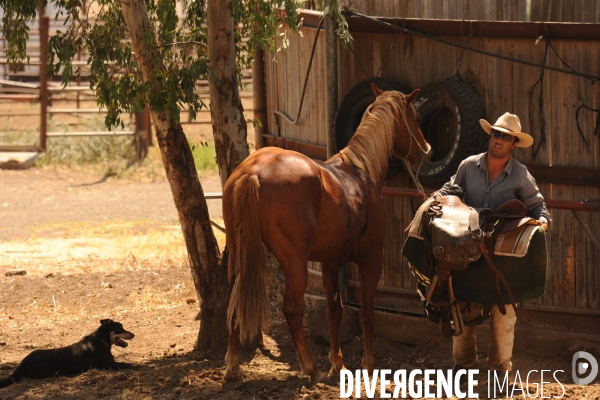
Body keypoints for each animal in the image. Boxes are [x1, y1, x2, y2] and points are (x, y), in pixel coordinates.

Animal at [0, 318, 135, 388]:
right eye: (120, 328)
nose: (134, 334)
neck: (100, 339)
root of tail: (22, 363)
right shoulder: (111, 366)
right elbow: (131, 364)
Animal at [223, 86, 428, 382]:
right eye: (417, 118)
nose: (426, 151)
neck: (360, 171)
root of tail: (253, 172)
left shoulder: (331, 264)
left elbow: (335, 312)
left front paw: (337, 364)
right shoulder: (371, 260)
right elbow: (367, 314)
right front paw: (367, 364)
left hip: (237, 254)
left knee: (232, 301)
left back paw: (233, 365)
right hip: (295, 262)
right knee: (292, 309)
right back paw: (311, 368)